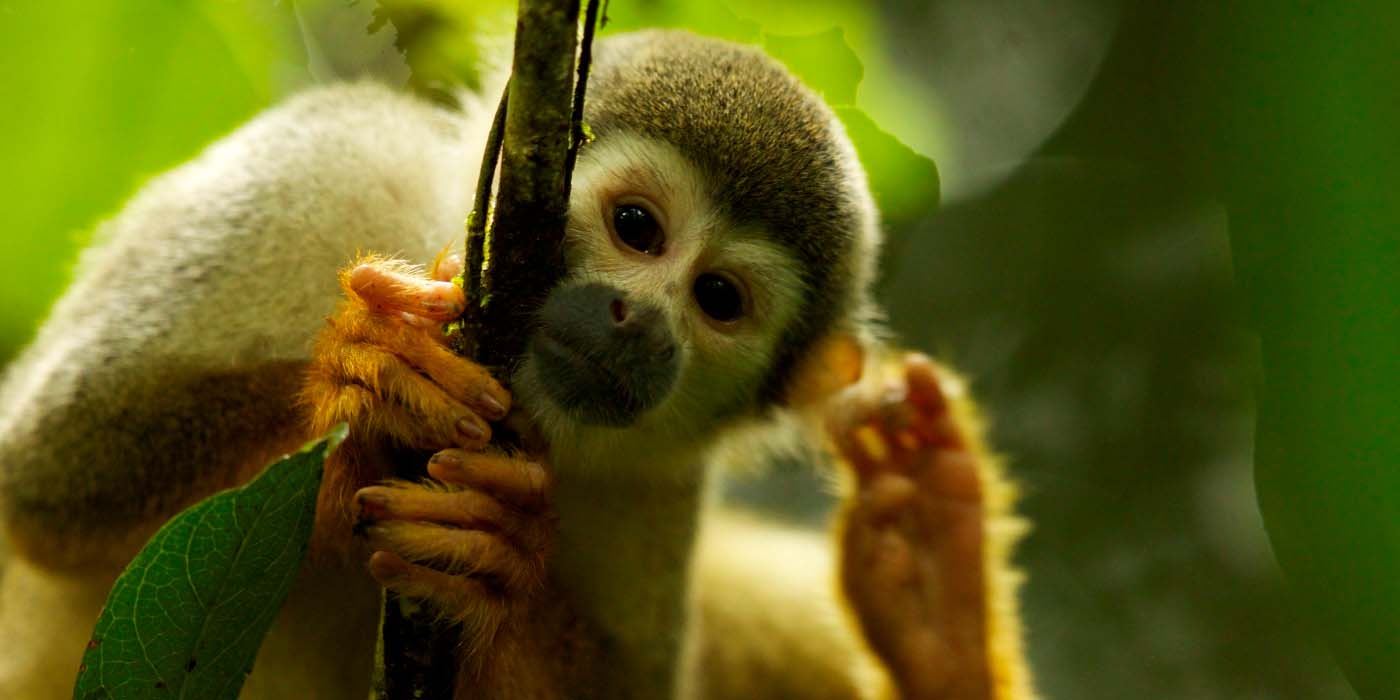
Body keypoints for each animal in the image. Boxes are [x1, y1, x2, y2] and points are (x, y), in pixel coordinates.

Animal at [0, 27, 1030, 700]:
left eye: (719, 299)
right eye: (636, 228)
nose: (637, 322)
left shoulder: (663, 481)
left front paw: (502, 563)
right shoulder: (321, 171)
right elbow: (52, 471)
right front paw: (361, 402)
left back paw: (937, 608)